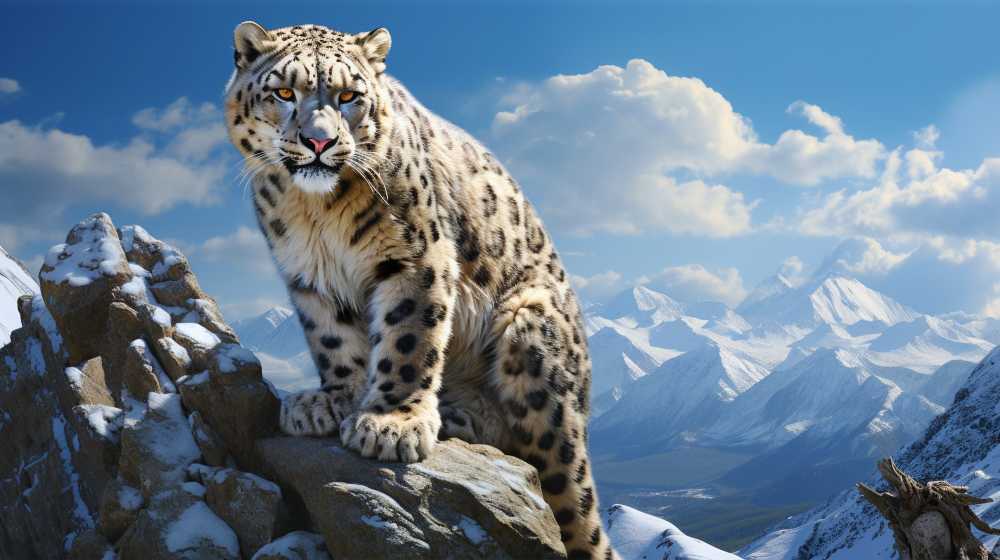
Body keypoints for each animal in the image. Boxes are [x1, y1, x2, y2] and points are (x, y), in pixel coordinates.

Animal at [223, 21, 615, 559]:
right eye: (284, 93)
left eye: (349, 96)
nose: (320, 142)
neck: (314, 214)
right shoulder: (307, 276)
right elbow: (331, 338)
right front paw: (333, 400)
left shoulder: (414, 255)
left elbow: (409, 337)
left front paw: (392, 423)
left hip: (531, 332)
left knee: (555, 473)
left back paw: (456, 413)